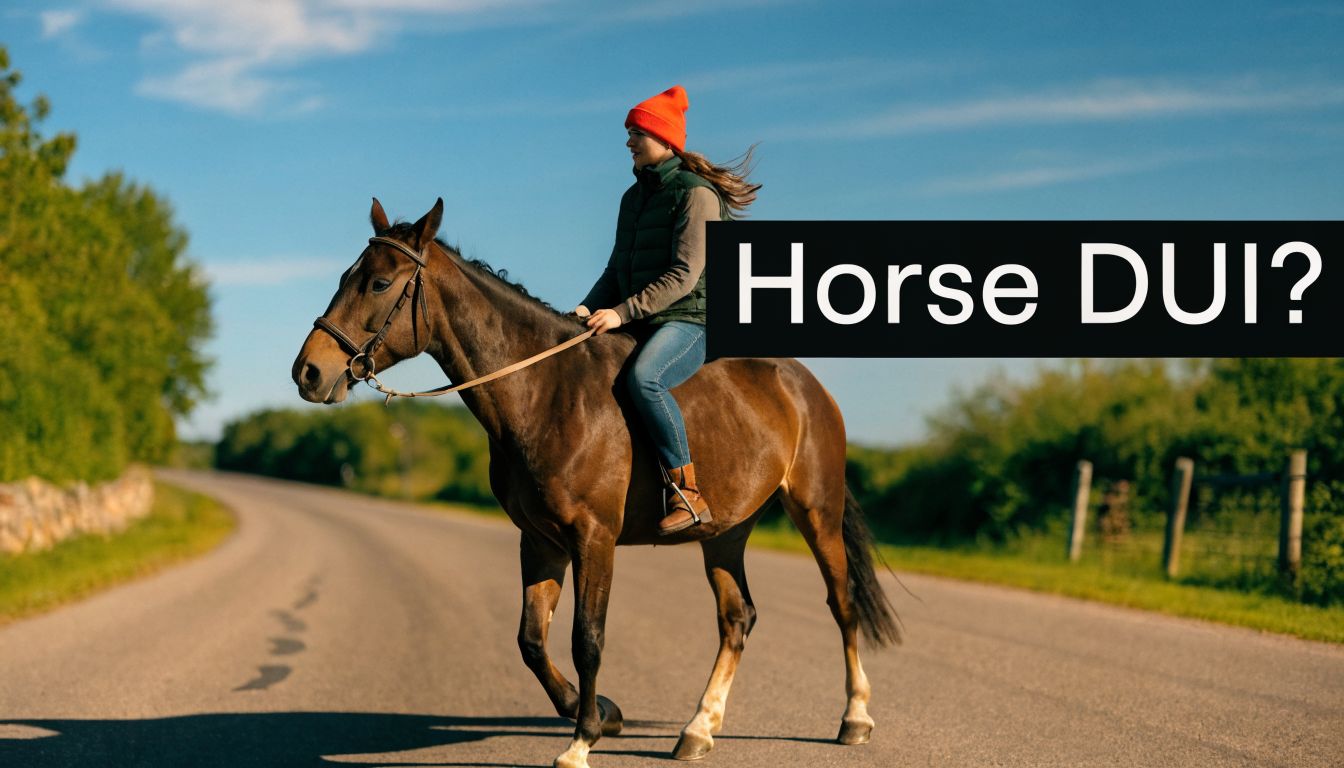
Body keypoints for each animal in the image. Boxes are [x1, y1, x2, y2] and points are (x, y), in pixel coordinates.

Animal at [291, 198, 900, 768]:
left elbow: (587, 638)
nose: (308, 373)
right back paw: (698, 729)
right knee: (736, 618)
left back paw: (855, 717)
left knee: (842, 603)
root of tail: (802, 383)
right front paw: (603, 713)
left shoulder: (594, 538)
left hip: (816, 511)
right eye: (345, 275)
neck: (545, 391)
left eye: (379, 282)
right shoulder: (541, 541)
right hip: (726, 532)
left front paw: (581, 739)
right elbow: (531, 640)